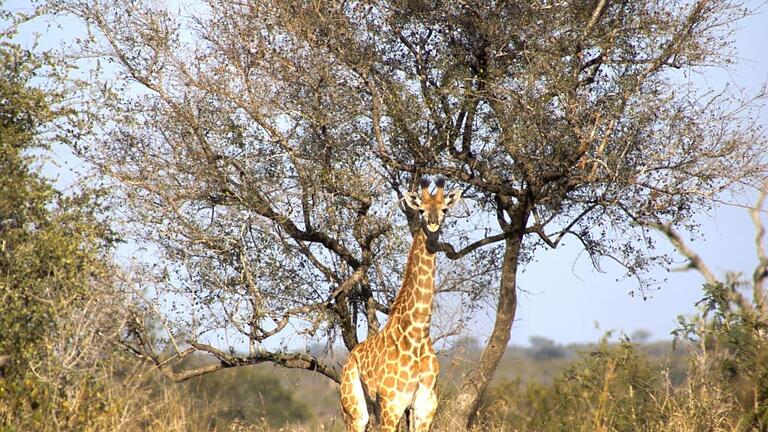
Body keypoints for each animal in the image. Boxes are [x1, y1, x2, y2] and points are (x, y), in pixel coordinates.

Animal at [338, 177, 460, 430]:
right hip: (354, 410)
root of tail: (350, 355)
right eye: (421, 210)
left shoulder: (425, 407)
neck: (418, 333)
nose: (433, 224)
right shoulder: (392, 406)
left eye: (444, 209)